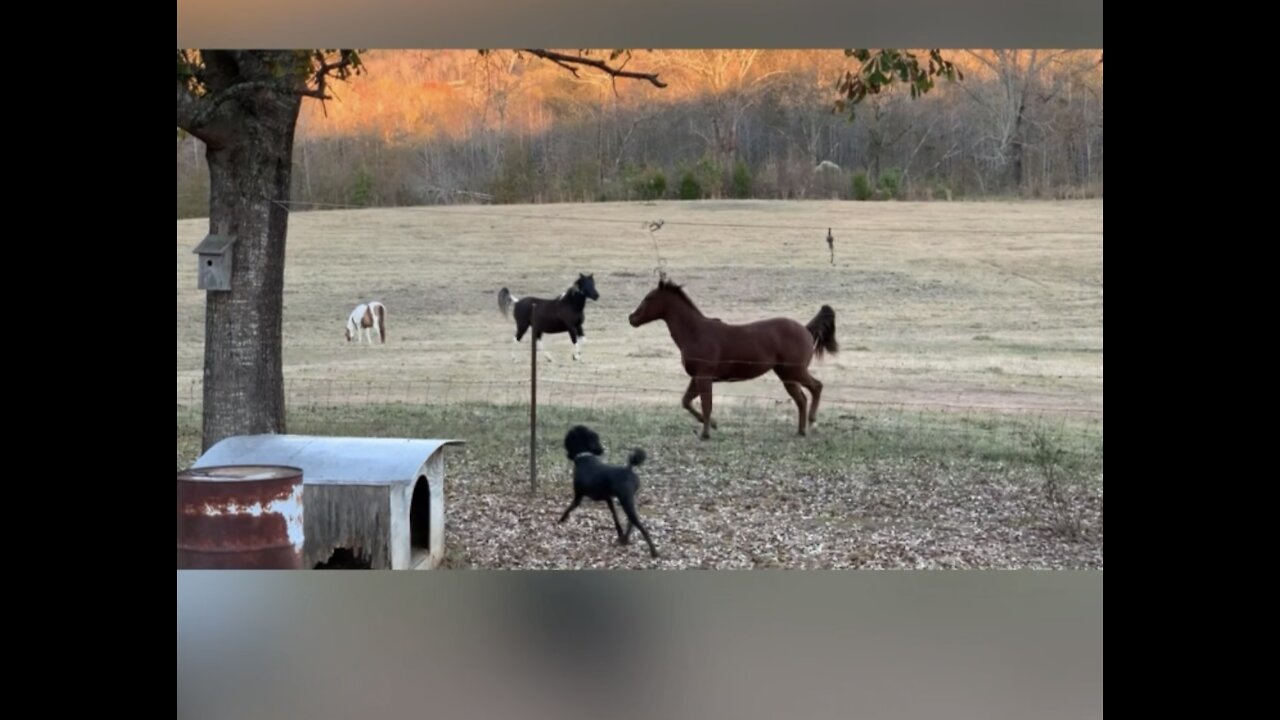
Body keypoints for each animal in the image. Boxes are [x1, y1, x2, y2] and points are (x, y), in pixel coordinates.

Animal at [627, 279, 839, 438]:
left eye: (649, 298)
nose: (631, 318)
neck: (696, 333)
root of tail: (806, 329)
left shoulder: (704, 377)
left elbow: (706, 404)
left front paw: (705, 433)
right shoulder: (697, 377)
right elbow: (686, 401)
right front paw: (713, 424)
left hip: (795, 371)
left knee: (816, 387)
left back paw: (812, 421)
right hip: (786, 375)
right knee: (801, 399)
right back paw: (801, 431)